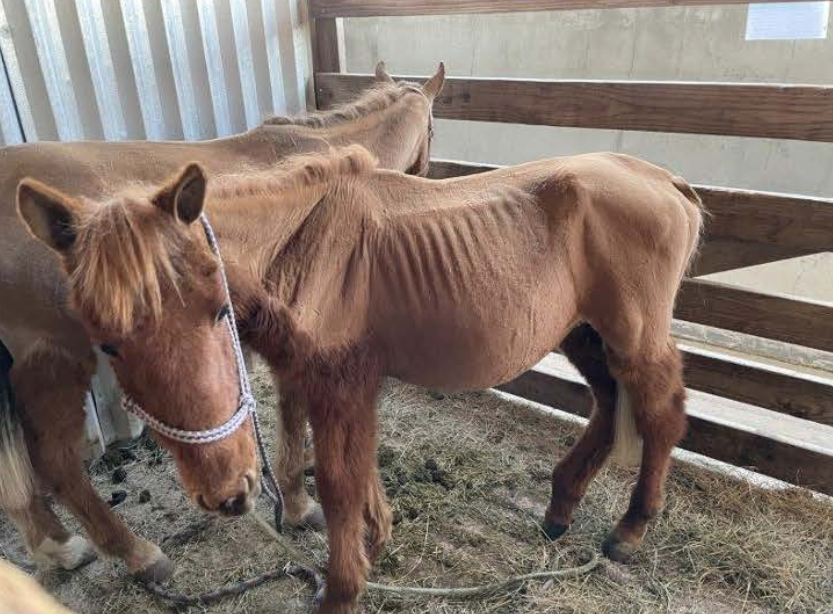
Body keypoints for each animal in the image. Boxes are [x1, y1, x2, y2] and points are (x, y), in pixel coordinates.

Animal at [0, 61, 446, 584]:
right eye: (434, 130)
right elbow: (293, 415)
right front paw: (300, 504)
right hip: (54, 360)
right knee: (55, 460)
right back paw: (136, 553)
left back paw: (56, 546)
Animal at [205, 147, 700, 612]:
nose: (221, 498)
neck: (306, 237)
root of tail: (667, 182)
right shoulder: (335, 385)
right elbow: (358, 467)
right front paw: (374, 544)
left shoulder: (339, 385)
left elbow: (339, 482)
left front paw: (341, 591)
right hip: (584, 334)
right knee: (609, 403)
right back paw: (560, 510)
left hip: (633, 338)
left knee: (663, 416)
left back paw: (628, 532)